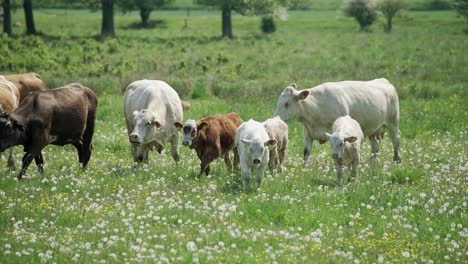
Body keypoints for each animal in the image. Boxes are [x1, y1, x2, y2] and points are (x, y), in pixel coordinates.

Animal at [274, 79, 402, 163]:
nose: (275, 118)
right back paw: (372, 162)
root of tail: (384, 81)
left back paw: (397, 160)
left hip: (393, 122)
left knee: (396, 139)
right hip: (374, 129)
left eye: (286, 104)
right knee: (375, 144)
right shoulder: (308, 133)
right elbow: (306, 152)